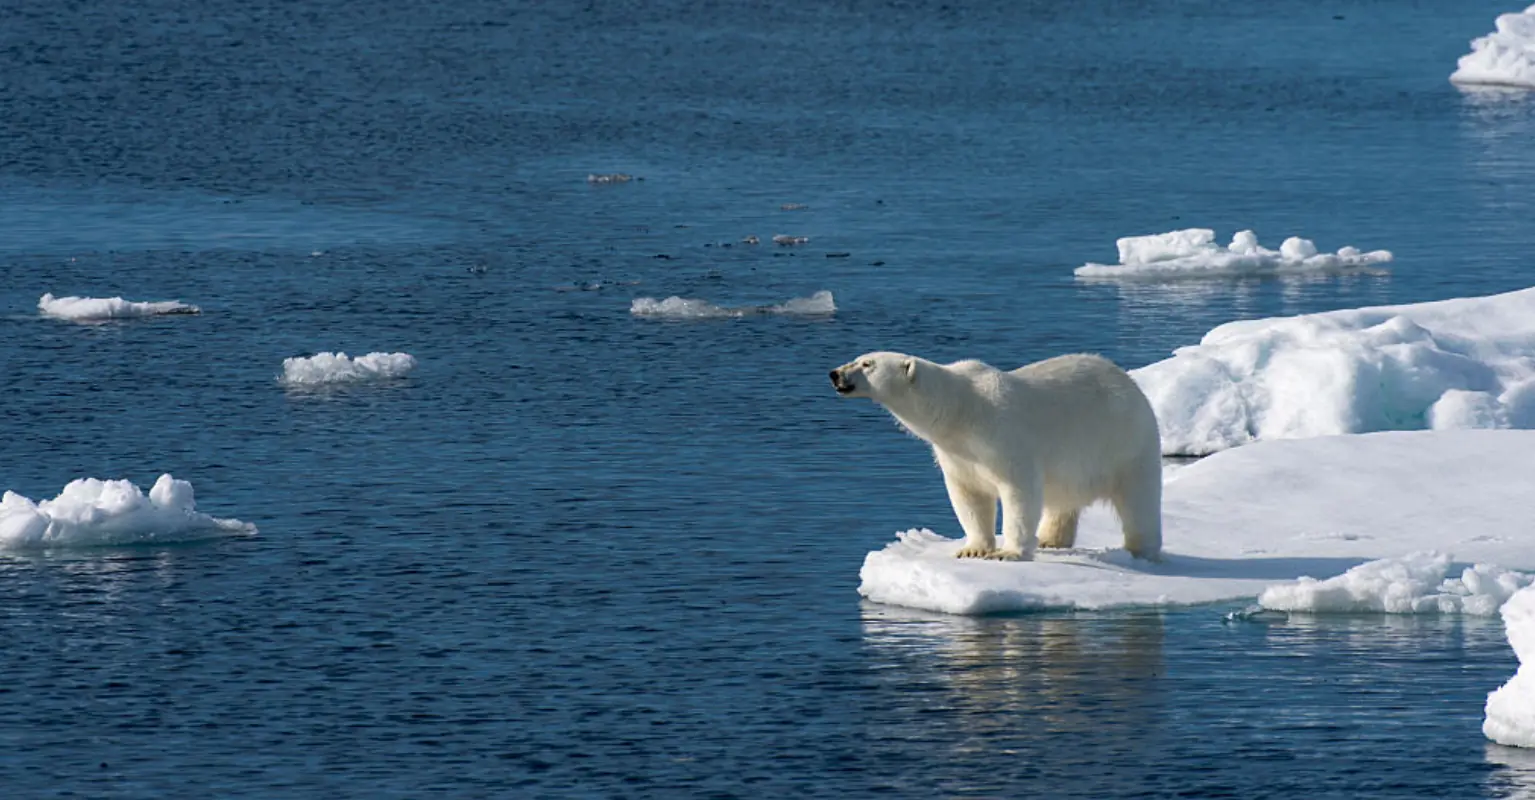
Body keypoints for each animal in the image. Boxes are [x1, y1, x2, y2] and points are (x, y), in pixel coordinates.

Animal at [829, 351, 1162, 561]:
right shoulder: (957, 453)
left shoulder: (1003, 437)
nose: (834, 373)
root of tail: (1131, 383)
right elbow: (969, 496)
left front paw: (1008, 552)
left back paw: (1141, 550)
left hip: (1125, 442)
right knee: (1062, 501)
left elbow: (1019, 492)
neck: (961, 411)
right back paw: (1049, 539)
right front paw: (973, 549)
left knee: (1139, 500)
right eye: (858, 357)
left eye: (867, 363)